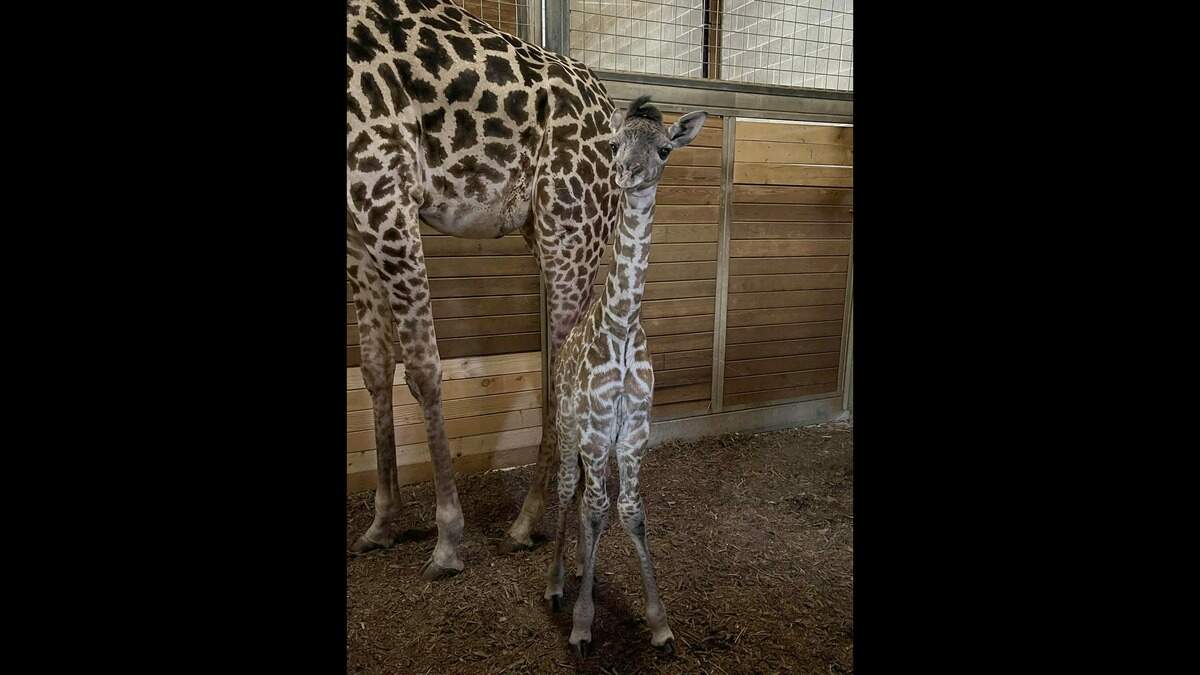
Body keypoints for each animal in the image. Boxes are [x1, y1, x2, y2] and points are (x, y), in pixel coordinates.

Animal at [346, 0, 619, 579]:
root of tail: (612, 112)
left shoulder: (385, 187)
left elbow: (424, 370)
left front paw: (448, 540)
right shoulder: (353, 220)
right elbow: (376, 368)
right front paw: (381, 526)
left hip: (570, 228)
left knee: (565, 365)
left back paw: (529, 523)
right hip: (551, 232)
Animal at [543, 96, 708, 657]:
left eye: (664, 148)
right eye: (614, 144)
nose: (628, 172)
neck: (620, 326)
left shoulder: (635, 429)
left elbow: (631, 510)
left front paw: (660, 624)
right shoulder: (596, 429)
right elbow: (596, 509)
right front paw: (582, 625)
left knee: (585, 498)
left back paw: (573, 572)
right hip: (568, 427)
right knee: (568, 490)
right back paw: (555, 584)